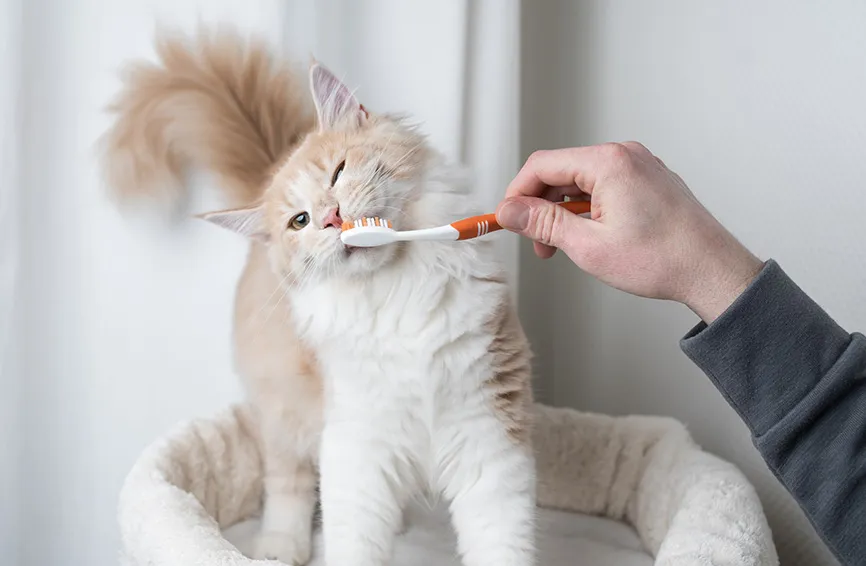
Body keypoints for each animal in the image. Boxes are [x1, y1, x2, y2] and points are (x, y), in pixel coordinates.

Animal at [99, 28, 532, 566]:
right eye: (299, 221)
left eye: (339, 172)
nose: (331, 217)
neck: (397, 290)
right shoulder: (357, 441)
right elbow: (353, 537)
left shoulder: (487, 430)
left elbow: (500, 539)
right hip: (283, 413)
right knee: (289, 485)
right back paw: (280, 547)